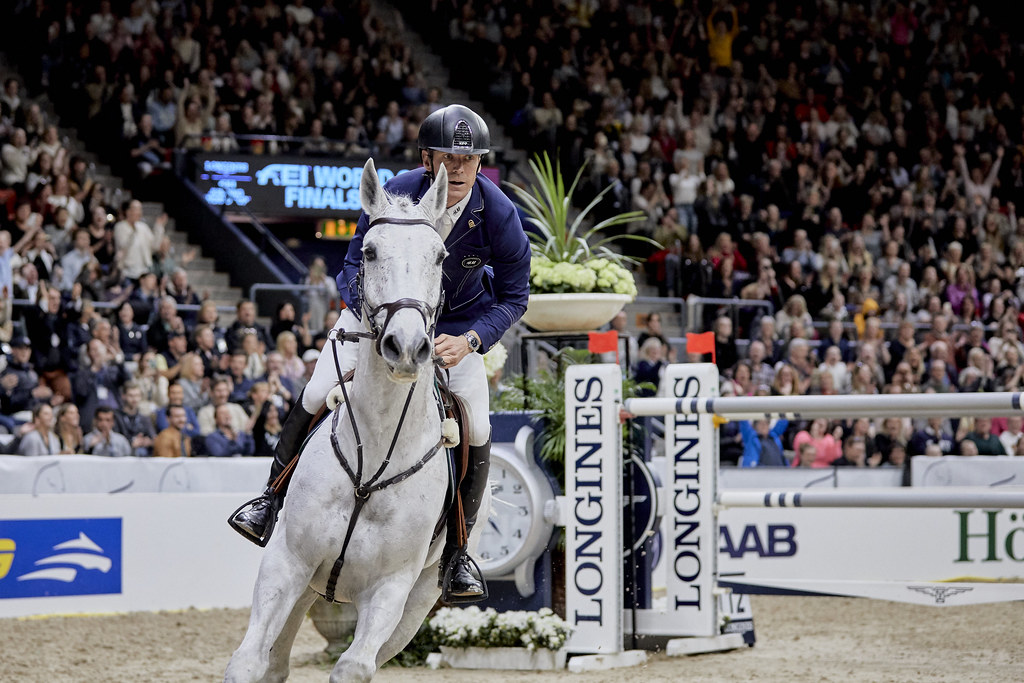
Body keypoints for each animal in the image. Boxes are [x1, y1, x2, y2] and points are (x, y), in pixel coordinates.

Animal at [225, 161, 487, 683]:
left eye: (439, 257)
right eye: (369, 250)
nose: (406, 348)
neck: (377, 450)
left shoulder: (390, 590)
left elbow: (352, 667)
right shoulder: (286, 562)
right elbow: (247, 663)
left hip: (414, 608)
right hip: (307, 585)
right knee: (274, 663)